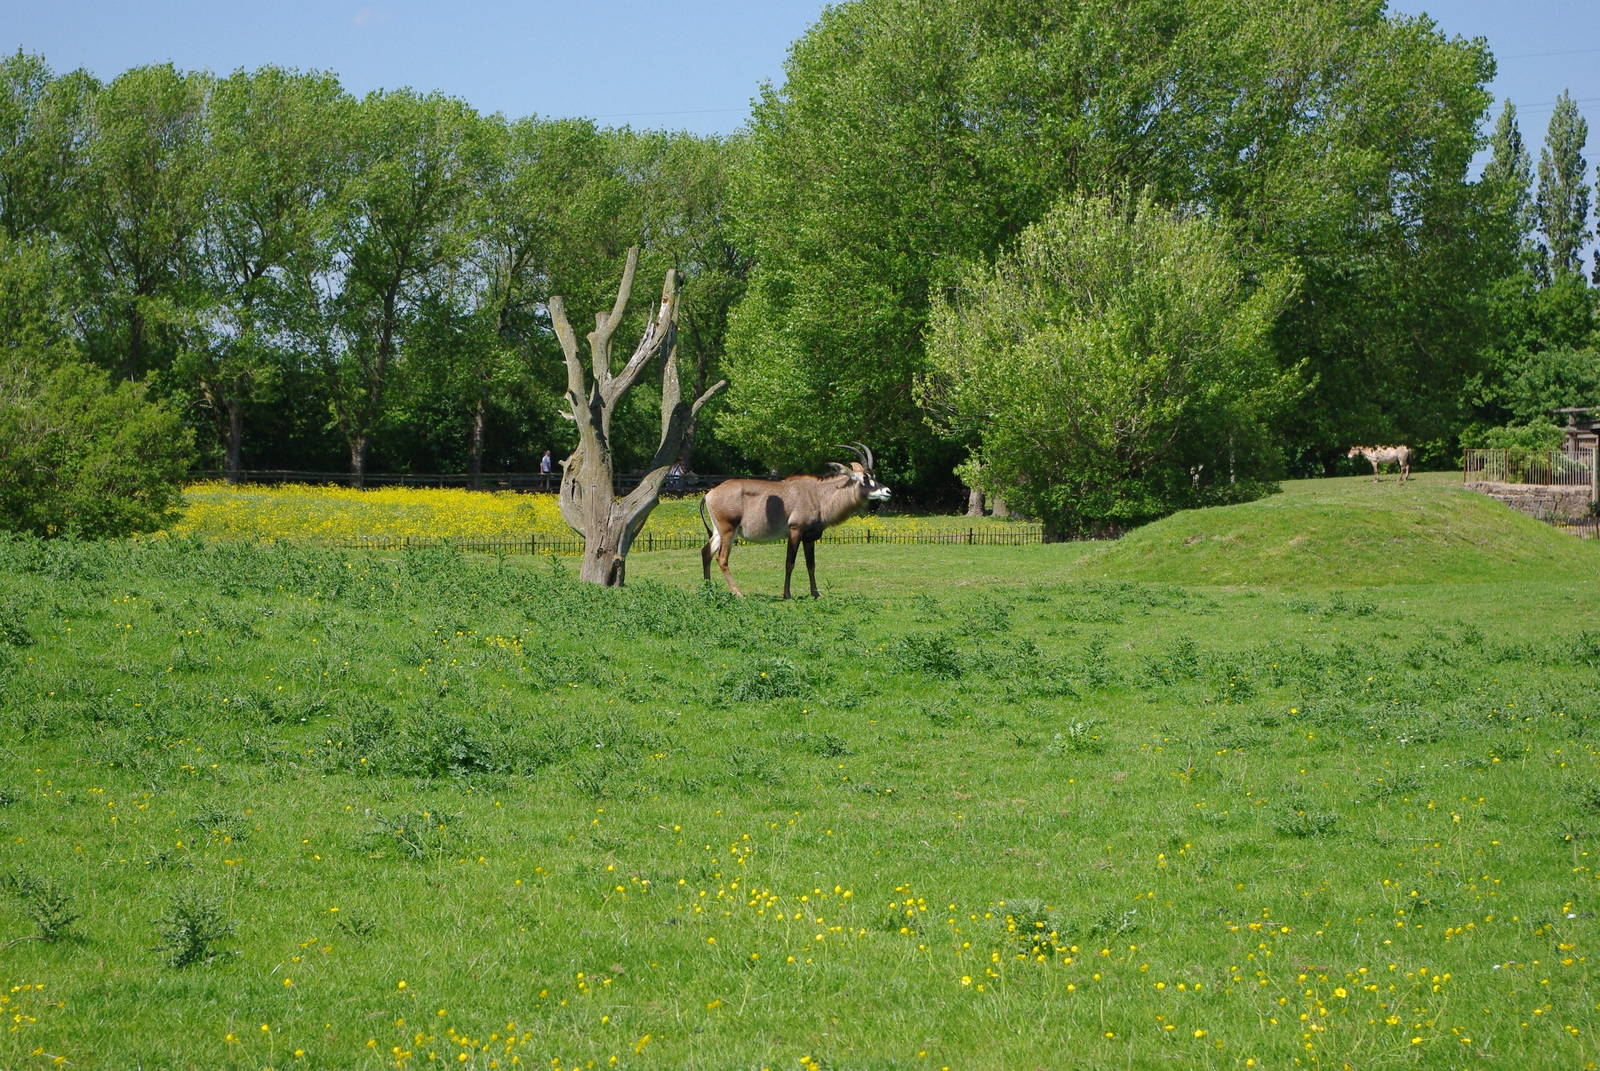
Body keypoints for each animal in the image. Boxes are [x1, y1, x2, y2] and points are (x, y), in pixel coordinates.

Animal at [700, 443, 892, 599]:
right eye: (865, 478)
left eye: (873, 475)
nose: (887, 491)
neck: (819, 495)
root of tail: (710, 494)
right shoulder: (795, 531)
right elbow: (790, 562)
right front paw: (787, 594)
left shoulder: (809, 537)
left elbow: (811, 564)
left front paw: (816, 594)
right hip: (728, 531)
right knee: (722, 558)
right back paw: (738, 593)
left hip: (718, 532)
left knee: (706, 552)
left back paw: (708, 590)